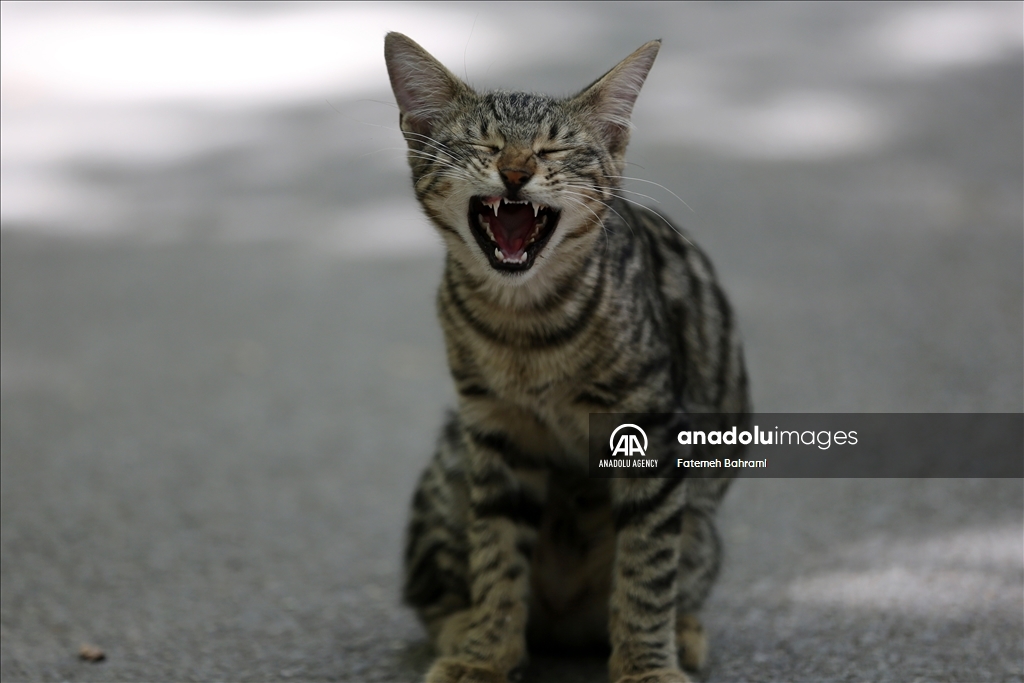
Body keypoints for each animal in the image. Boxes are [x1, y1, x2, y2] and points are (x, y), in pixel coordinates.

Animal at [384, 32, 750, 683]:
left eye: (554, 148)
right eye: (484, 143)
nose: (515, 171)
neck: (525, 328)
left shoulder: (653, 431)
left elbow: (646, 569)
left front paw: (646, 667)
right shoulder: (494, 432)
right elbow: (497, 558)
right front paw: (485, 655)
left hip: (702, 527)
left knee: (675, 576)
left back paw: (683, 632)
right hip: (451, 467)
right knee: (435, 592)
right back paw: (462, 629)